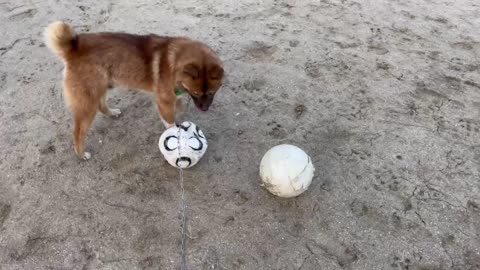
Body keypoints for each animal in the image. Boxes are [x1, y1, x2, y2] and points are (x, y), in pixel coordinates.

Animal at [44, 22, 224, 160]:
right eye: (197, 93)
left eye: (212, 92)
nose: (204, 109)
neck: (174, 63)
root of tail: (73, 49)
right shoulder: (164, 101)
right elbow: (170, 122)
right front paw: (175, 134)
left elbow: (177, 105)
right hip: (87, 104)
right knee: (78, 132)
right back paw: (81, 153)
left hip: (102, 87)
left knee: (101, 105)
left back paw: (111, 113)